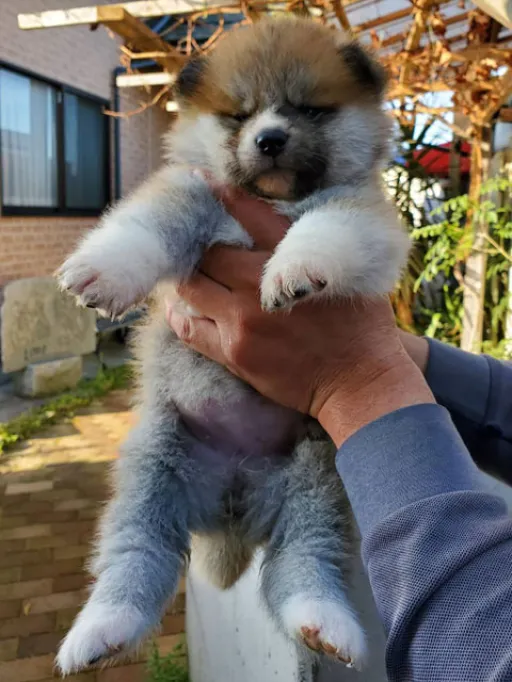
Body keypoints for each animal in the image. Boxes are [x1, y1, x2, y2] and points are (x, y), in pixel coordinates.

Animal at [55, 17, 408, 676]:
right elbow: (151, 223)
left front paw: (293, 269)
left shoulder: (363, 215)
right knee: (136, 555)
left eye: (309, 109)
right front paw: (104, 271)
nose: (269, 139)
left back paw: (325, 622)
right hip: (154, 470)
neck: (271, 200)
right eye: (238, 116)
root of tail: (233, 503)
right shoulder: (192, 192)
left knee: (302, 564)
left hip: (317, 482)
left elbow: (323, 227)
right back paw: (102, 628)